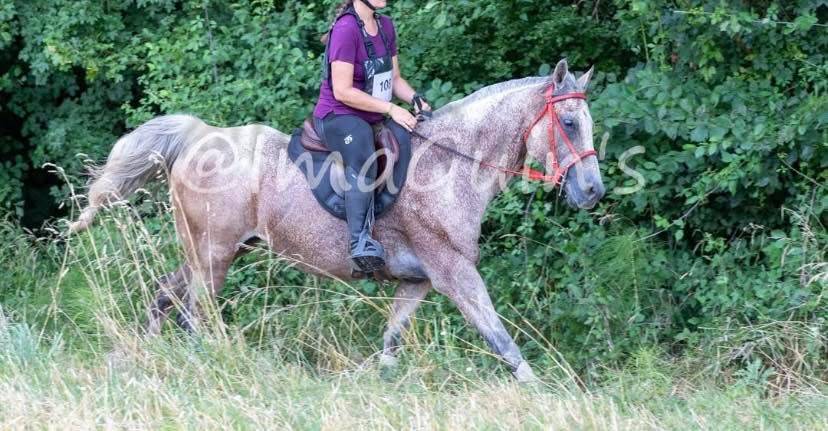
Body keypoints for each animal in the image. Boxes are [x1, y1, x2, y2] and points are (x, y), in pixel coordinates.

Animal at [68, 59, 605, 382]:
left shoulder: (418, 281)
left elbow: (391, 341)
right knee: (195, 314)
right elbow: (499, 336)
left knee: (165, 296)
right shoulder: (454, 273)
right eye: (569, 123)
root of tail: (200, 136)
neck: (450, 163)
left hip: (211, 251)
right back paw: (211, 363)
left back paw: (136, 357)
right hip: (214, 255)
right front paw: (543, 390)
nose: (593, 191)